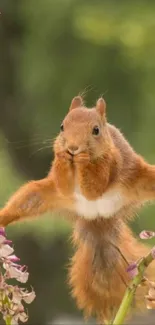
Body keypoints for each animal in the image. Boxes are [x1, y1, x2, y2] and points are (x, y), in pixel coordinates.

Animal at [0, 95, 155, 322]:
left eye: (96, 130)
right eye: (62, 126)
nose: (73, 148)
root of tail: (98, 219)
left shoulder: (113, 163)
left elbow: (95, 186)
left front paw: (83, 161)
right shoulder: (61, 188)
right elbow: (62, 182)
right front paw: (63, 156)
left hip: (142, 179)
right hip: (36, 195)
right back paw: (2, 218)